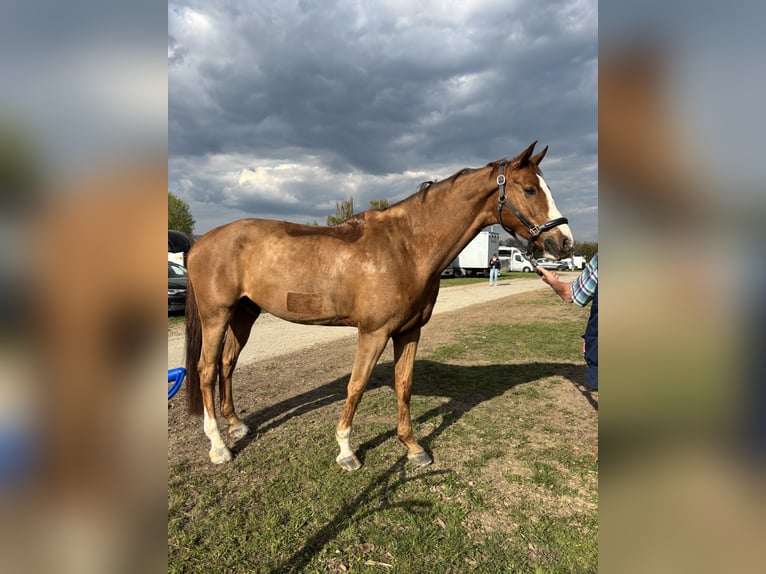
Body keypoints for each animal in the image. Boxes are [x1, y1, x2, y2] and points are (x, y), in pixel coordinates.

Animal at [184, 142, 573, 469]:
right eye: (530, 189)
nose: (564, 243)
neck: (405, 247)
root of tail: (200, 242)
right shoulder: (373, 333)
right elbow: (356, 385)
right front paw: (346, 451)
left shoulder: (409, 332)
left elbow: (404, 386)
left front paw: (413, 448)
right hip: (216, 316)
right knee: (206, 370)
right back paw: (219, 447)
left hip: (244, 313)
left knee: (227, 363)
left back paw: (236, 425)